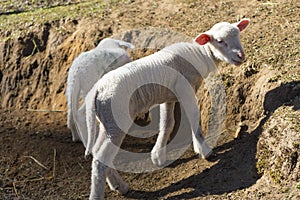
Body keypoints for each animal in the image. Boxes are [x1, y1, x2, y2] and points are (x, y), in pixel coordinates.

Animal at [84, 18, 248, 198]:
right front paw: (205, 151)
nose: (241, 56)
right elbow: (193, 116)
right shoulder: (184, 88)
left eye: (238, 34)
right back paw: (101, 193)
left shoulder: (169, 96)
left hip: (106, 121)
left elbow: (167, 123)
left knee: (99, 154)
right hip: (116, 119)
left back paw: (119, 185)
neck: (199, 54)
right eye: (220, 41)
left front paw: (158, 155)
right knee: (100, 160)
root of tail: (97, 90)